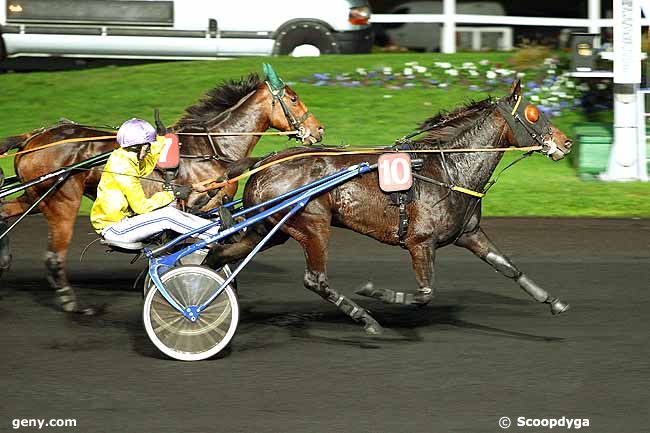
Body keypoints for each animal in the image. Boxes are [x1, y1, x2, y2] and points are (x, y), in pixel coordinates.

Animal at [0, 64, 322, 312]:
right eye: (293, 98)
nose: (318, 130)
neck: (211, 147)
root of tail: (34, 137)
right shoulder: (202, 204)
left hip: (33, 195)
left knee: (4, 211)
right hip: (61, 198)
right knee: (54, 254)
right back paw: (70, 300)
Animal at [208, 80, 572, 334]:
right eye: (534, 114)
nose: (566, 142)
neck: (447, 169)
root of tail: (264, 162)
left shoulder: (469, 234)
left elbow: (508, 267)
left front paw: (553, 301)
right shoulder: (420, 242)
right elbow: (425, 294)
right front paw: (377, 293)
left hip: (269, 228)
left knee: (219, 253)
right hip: (311, 224)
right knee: (315, 279)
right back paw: (365, 318)